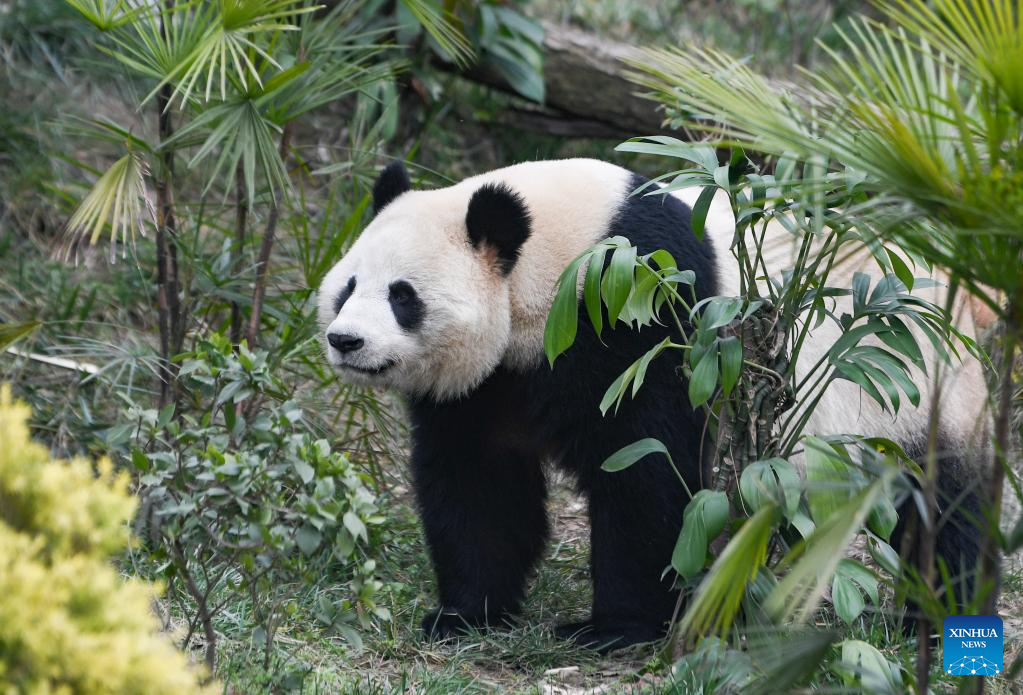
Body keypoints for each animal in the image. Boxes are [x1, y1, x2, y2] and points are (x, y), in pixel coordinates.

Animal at [317, 157, 990, 650]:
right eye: (348, 286)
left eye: (402, 296)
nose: (345, 340)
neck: (548, 257)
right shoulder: (491, 384)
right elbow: (479, 484)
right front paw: (464, 614)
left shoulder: (636, 309)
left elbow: (646, 466)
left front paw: (613, 628)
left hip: (915, 388)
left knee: (940, 501)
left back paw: (935, 617)